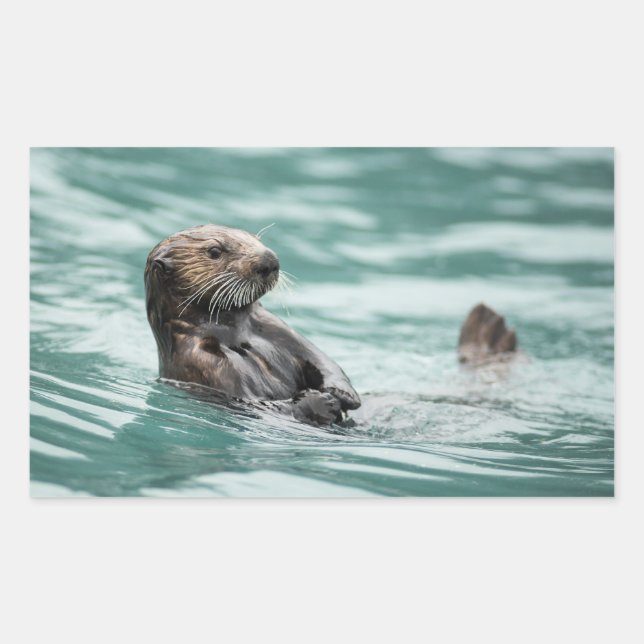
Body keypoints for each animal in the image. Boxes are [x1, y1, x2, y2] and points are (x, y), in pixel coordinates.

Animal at [144, 224, 517, 426]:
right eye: (214, 251)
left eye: (253, 237)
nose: (269, 260)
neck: (235, 334)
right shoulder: (203, 363)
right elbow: (259, 404)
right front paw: (321, 403)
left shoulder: (275, 327)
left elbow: (322, 359)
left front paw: (342, 393)